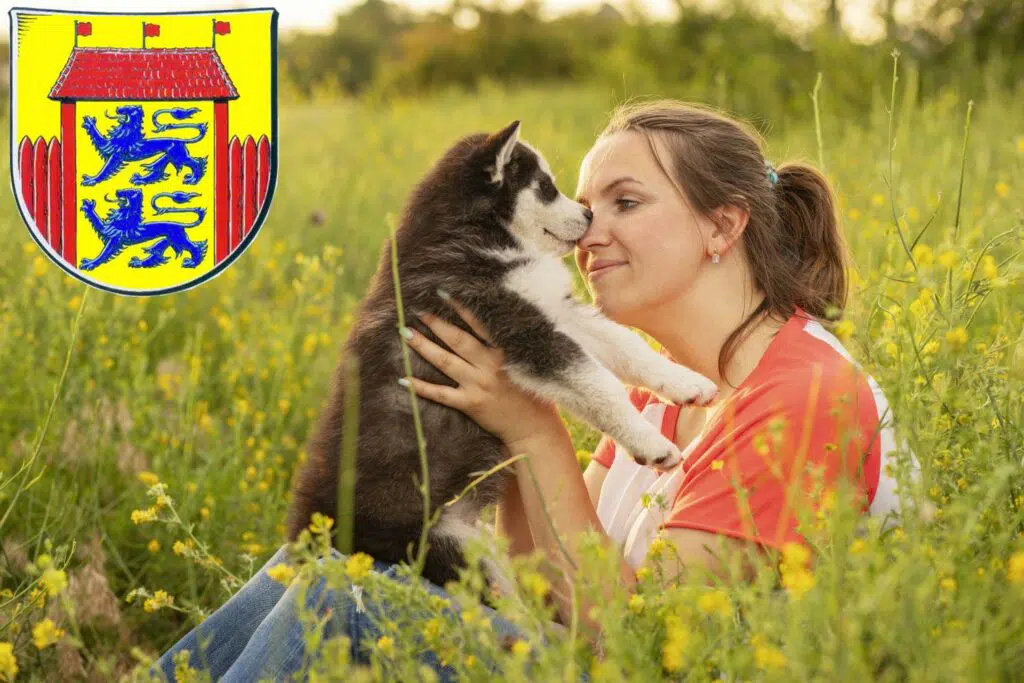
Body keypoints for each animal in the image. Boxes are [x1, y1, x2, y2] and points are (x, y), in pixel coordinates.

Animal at [80, 191, 208, 270]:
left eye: (128, 192)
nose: (117, 191)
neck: (124, 216)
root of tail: (180, 224)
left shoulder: (116, 239)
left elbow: (104, 254)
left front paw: (90, 263)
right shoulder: (108, 230)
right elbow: (99, 223)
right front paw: (88, 207)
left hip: (178, 239)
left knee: (195, 247)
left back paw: (192, 262)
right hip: (167, 241)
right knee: (156, 254)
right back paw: (138, 263)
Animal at [286, 122, 720, 593]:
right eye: (546, 187)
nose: (589, 216)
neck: (478, 235)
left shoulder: (558, 310)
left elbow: (629, 347)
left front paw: (686, 383)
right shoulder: (520, 325)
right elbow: (600, 383)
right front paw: (651, 444)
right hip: (449, 549)